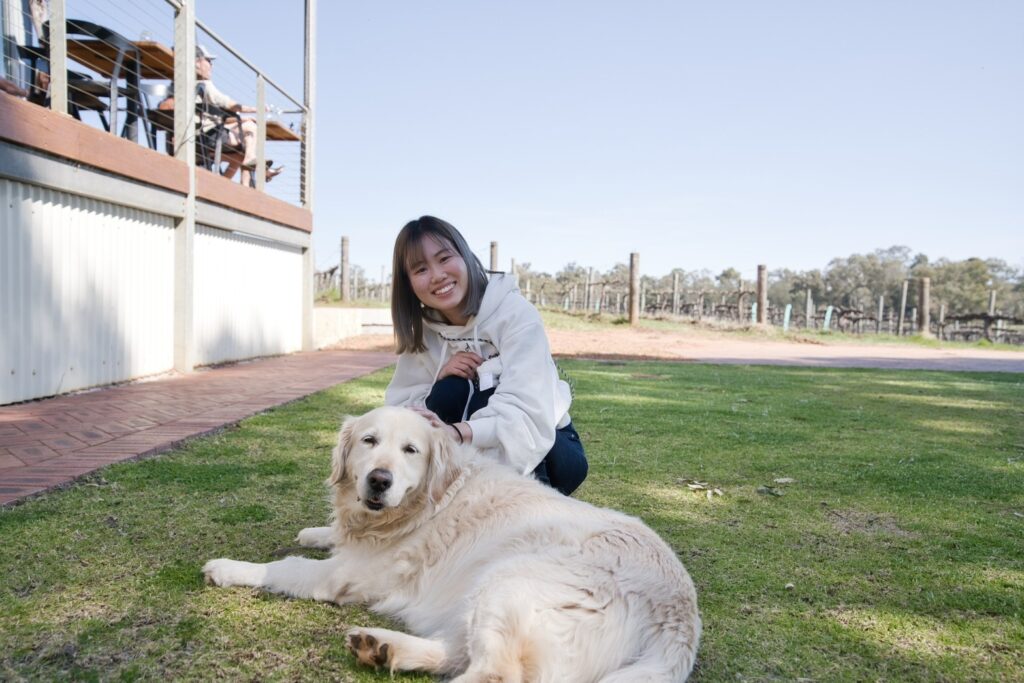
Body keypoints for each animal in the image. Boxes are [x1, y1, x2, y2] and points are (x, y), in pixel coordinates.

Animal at [203, 409, 700, 679]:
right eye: (369, 441)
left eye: (411, 450)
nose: (378, 481)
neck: (429, 499)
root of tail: (680, 616)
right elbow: (330, 533)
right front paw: (317, 531)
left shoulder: (344, 574)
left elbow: (285, 567)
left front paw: (228, 567)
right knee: (458, 653)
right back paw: (382, 647)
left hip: (508, 579)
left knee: (495, 673)